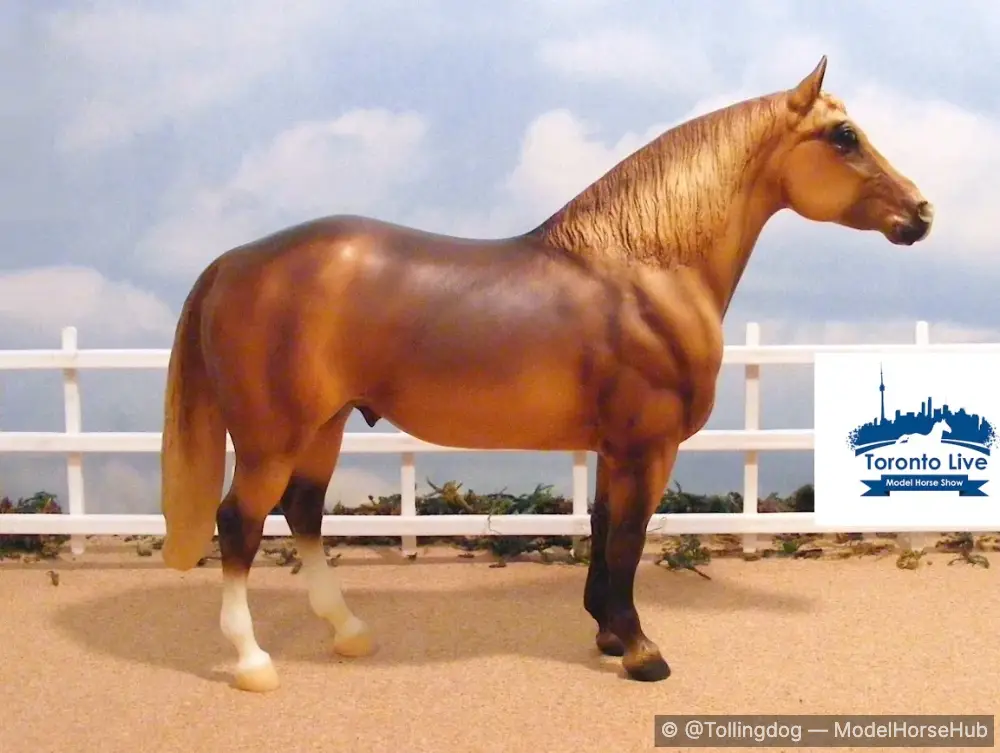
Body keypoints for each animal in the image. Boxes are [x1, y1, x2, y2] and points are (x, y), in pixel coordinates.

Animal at [158, 56, 934, 693]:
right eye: (844, 136)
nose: (921, 212)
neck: (647, 265)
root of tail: (233, 261)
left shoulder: (615, 449)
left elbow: (603, 527)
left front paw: (608, 632)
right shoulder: (648, 448)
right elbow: (628, 539)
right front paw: (642, 651)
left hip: (324, 426)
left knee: (304, 513)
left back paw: (348, 633)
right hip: (271, 439)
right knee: (240, 524)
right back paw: (253, 662)